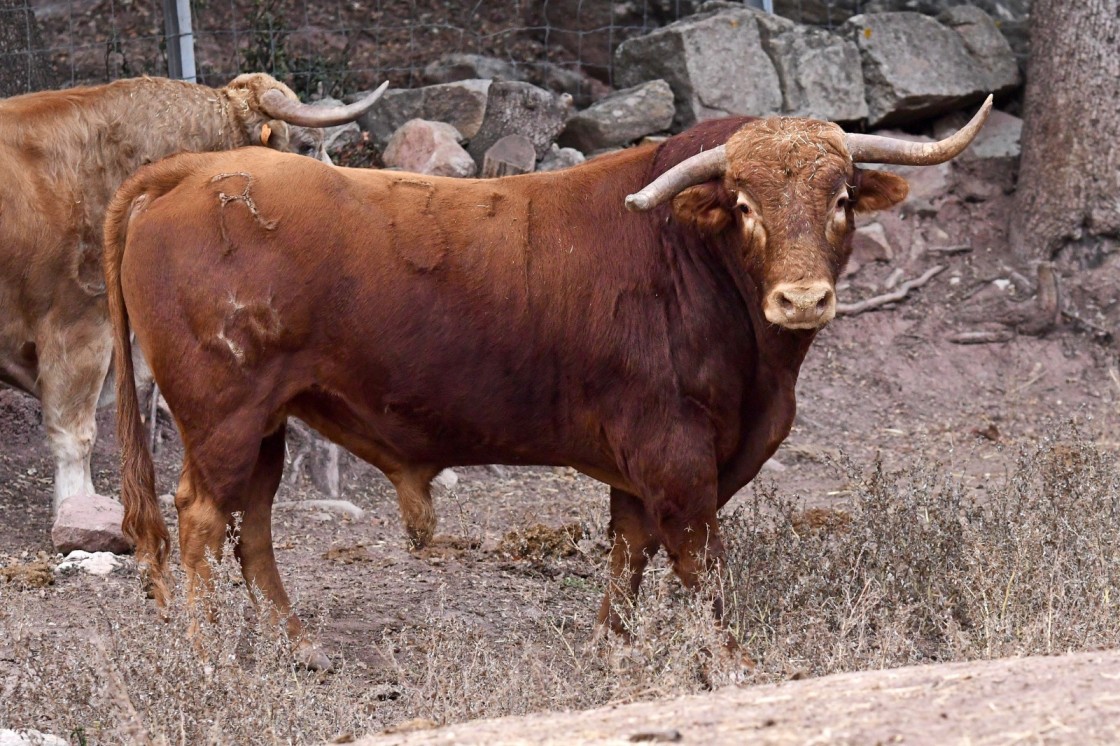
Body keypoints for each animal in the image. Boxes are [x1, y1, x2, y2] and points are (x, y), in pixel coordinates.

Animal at [105, 95, 994, 663]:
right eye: (743, 204)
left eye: (842, 198)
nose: (803, 298)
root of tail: (194, 171)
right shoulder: (676, 454)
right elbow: (698, 563)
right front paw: (733, 659)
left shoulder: (644, 463)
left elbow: (630, 550)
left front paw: (611, 644)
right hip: (221, 417)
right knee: (200, 518)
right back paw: (211, 658)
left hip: (268, 421)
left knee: (249, 523)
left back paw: (298, 648)